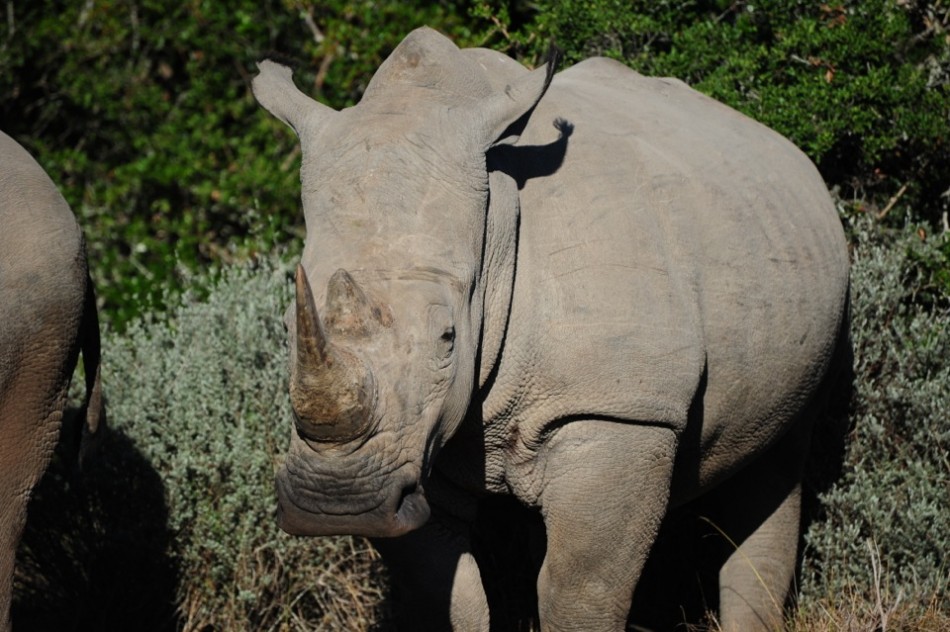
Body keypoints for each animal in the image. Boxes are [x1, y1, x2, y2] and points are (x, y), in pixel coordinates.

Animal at [252, 27, 850, 631]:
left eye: (448, 337)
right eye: (287, 328)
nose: (336, 503)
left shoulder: (621, 408)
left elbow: (579, 589)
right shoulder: (411, 453)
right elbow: (445, 593)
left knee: (777, 465)